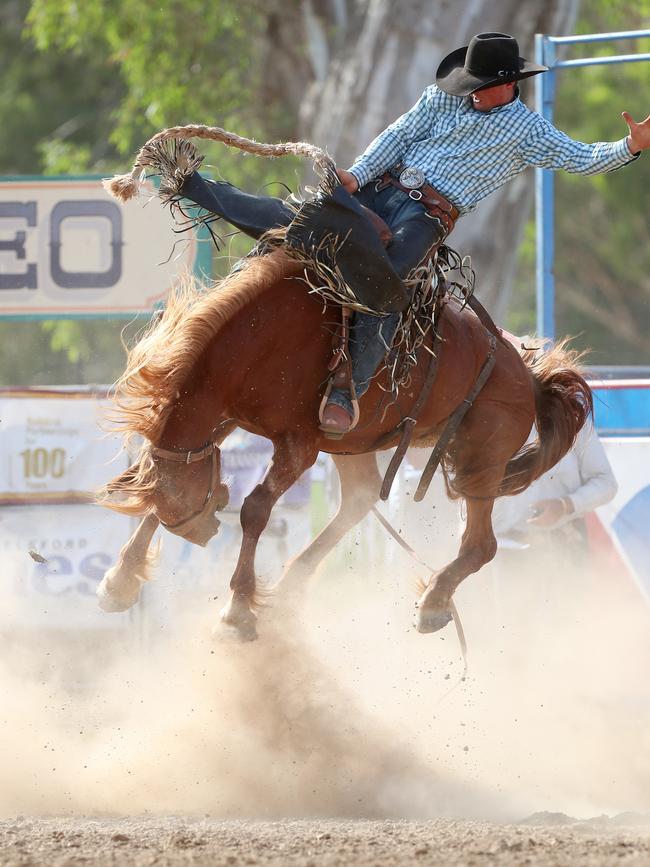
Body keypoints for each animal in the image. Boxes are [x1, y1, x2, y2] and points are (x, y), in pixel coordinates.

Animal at [95, 248, 588, 640]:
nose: (201, 534)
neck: (260, 335)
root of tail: (529, 377)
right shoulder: (229, 416)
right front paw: (120, 580)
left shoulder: (299, 445)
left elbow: (256, 510)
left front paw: (237, 610)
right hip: (357, 443)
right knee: (361, 498)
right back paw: (288, 591)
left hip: (480, 458)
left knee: (480, 545)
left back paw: (432, 603)